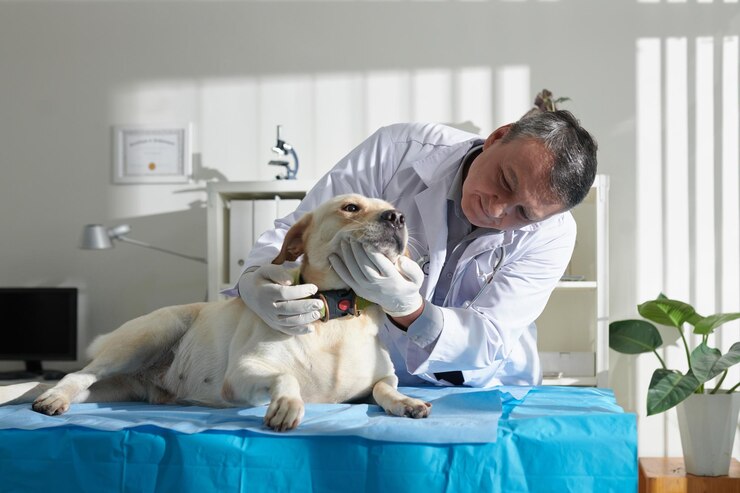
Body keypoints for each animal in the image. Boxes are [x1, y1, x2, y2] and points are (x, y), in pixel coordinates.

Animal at [0, 194, 428, 428]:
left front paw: (407, 403)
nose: (398, 217)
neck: (338, 313)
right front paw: (287, 404)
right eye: (350, 207)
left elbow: (385, 388)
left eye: (394, 209)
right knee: (77, 374)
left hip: (116, 387)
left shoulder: (380, 379)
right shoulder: (242, 373)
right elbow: (286, 377)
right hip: (150, 334)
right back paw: (53, 398)